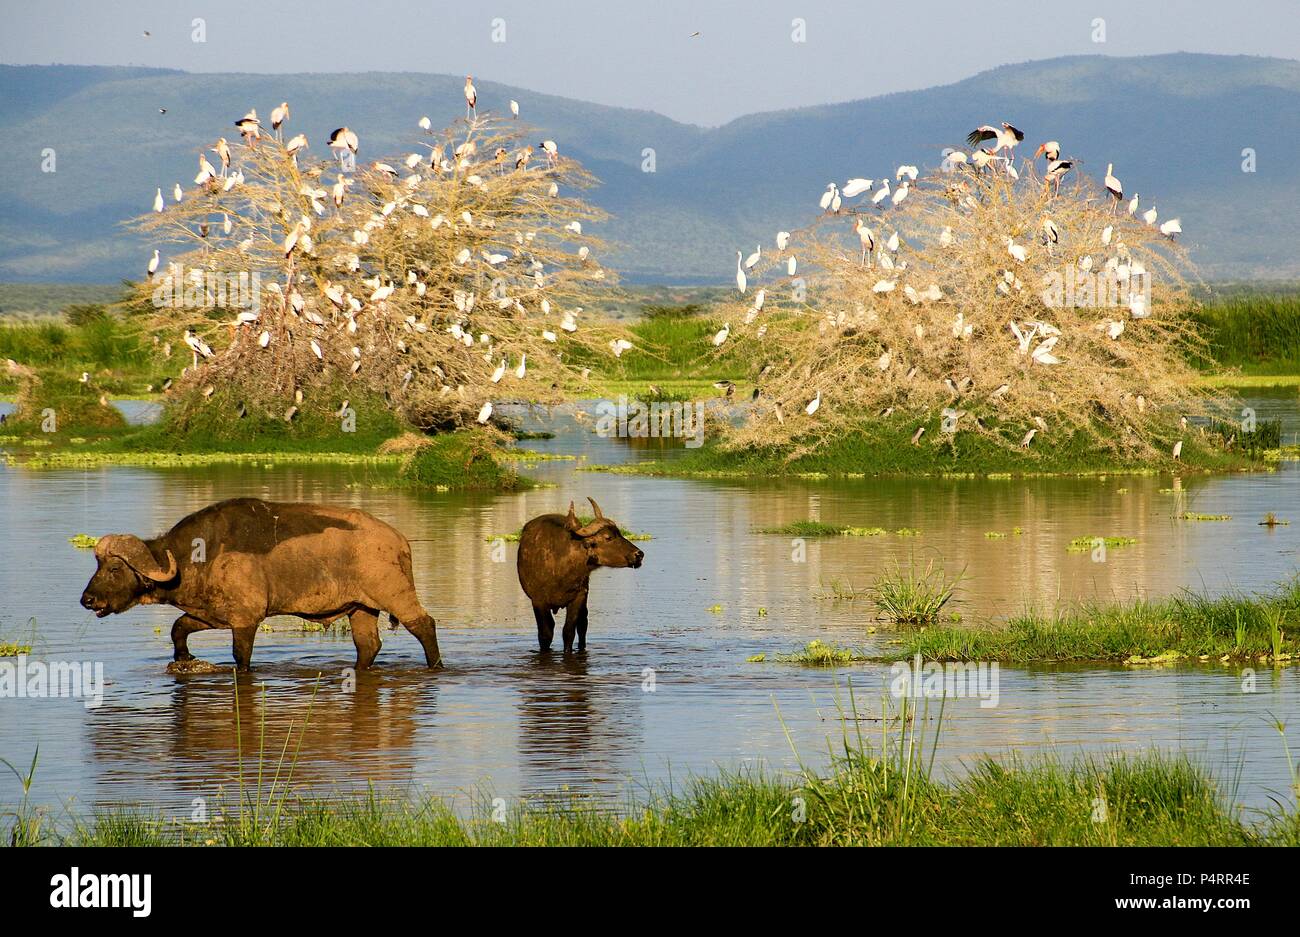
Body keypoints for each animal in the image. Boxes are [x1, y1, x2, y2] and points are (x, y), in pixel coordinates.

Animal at [79, 498, 441, 672]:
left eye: (114, 568)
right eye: (97, 565)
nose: (87, 600)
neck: (197, 556)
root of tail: (398, 540)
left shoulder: (246, 620)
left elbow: (241, 656)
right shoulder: (211, 615)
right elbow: (178, 628)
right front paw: (183, 657)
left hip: (395, 595)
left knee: (424, 625)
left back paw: (436, 665)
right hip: (361, 608)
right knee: (368, 646)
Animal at [516, 497, 644, 652]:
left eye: (619, 533)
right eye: (608, 537)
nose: (639, 554)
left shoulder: (579, 596)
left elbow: (569, 631)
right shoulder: (538, 600)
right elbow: (545, 634)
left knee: (583, 624)